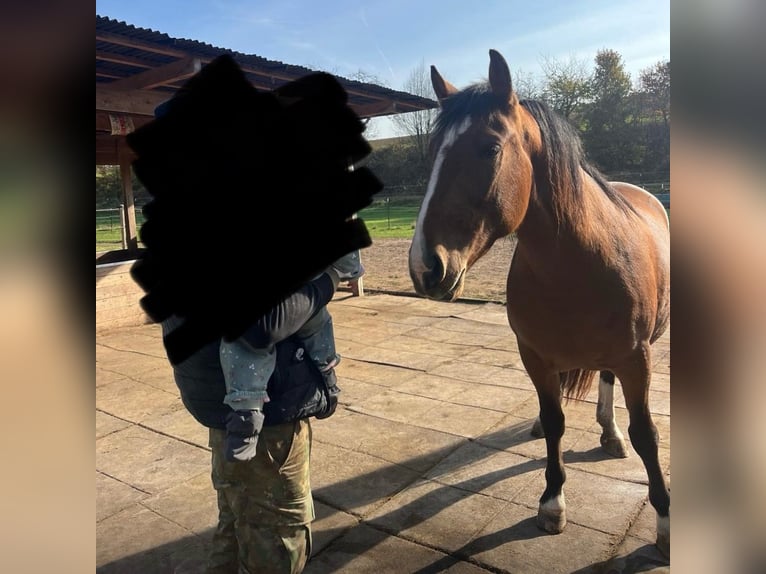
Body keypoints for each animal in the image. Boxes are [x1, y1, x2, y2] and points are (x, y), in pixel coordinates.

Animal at [412, 51, 668, 560]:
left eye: (490, 149)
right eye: (432, 155)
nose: (425, 265)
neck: (579, 262)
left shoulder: (638, 358)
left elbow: (647, 435)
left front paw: (666, 524)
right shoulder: (535, 357)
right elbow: (555, 423)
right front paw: (552, 502)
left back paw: (611, 436)